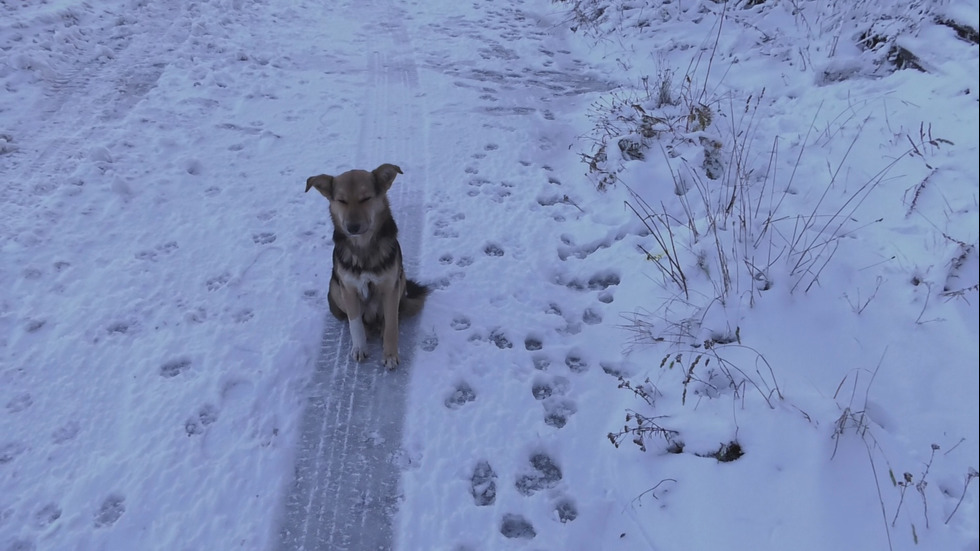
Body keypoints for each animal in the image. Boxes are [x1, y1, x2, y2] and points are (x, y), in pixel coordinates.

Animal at [306, 164, 428, 370]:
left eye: (365, 198)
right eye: (341, 201)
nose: (352, 227)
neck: (363, 249)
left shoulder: (390, 287)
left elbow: (392, 324)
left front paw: (390, 354)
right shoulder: (348, 289)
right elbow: (355, 323)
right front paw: (359, 348)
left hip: (401, 279)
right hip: (334, 287)